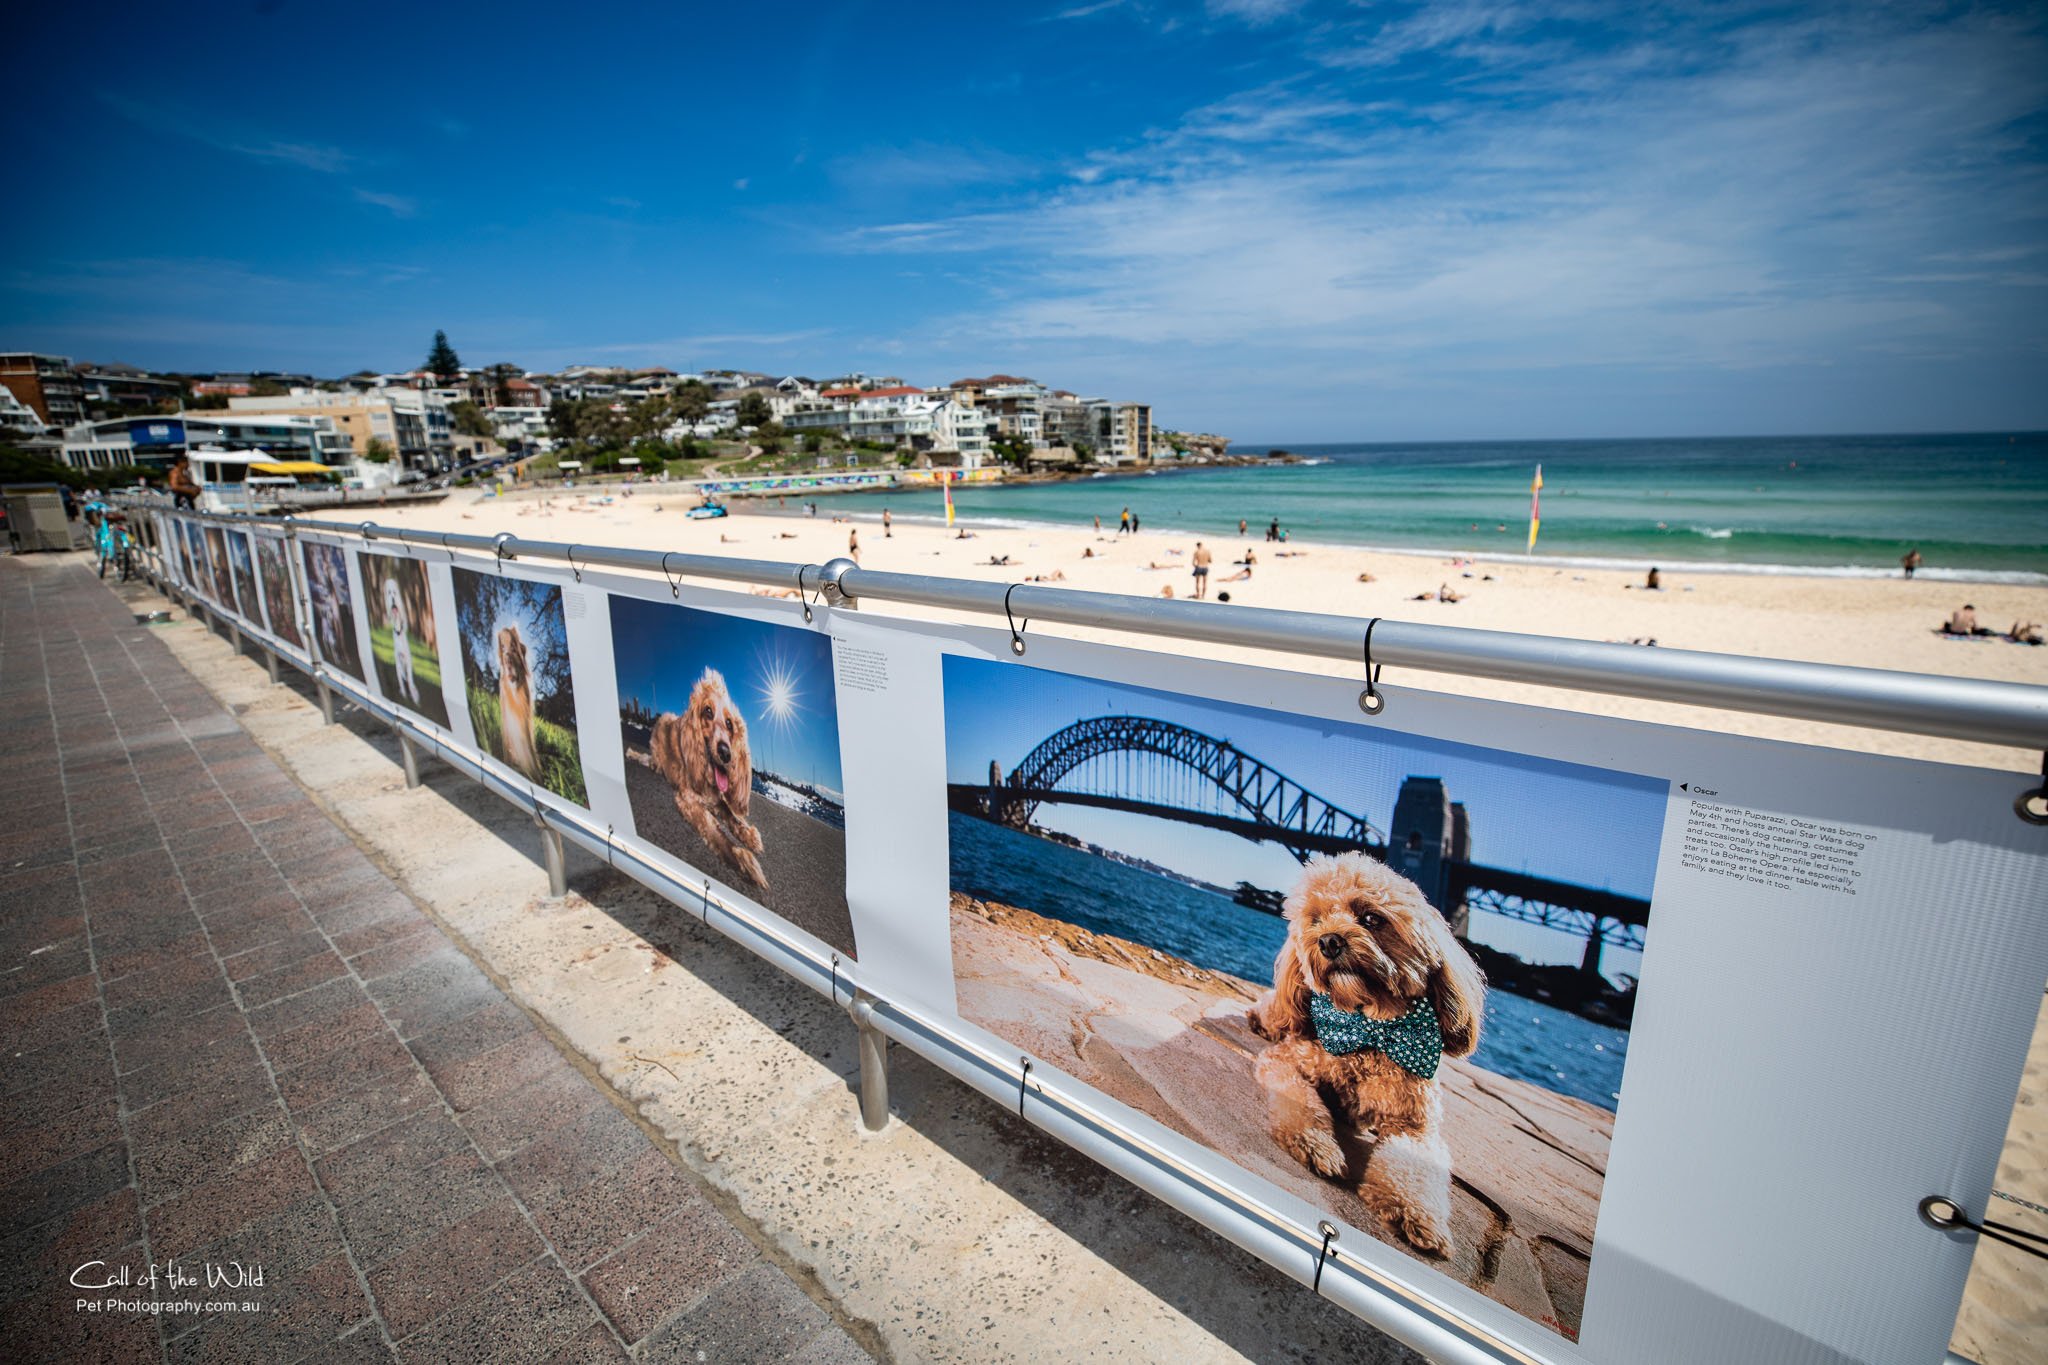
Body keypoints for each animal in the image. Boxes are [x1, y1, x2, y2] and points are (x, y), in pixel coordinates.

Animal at [1245, 855, 1490, 1260]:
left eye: (1372, 918)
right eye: (1315, 919)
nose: (1328, 940)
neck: (1365, 1027)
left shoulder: (1415, 1126)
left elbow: (1412, 1165)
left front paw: (1416, 1214)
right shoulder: (1286, 1061)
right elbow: (1302, 1102)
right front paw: (1316, 1145)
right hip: (1279, 1015)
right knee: (1271, 1011)